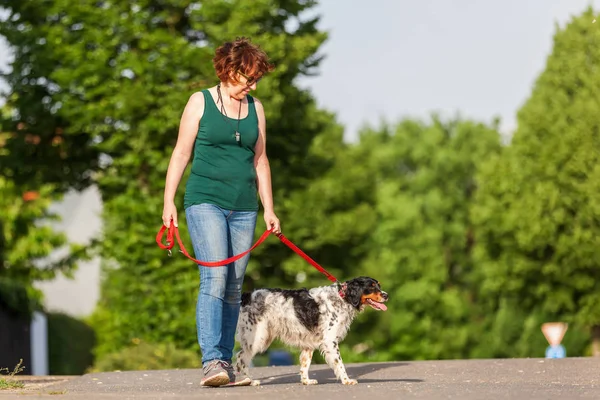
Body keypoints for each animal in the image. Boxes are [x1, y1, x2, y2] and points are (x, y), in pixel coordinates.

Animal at [234, 276, 390, 386]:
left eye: (379, 285)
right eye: (371, 287)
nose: (386, 295)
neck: (342, 298)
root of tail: (246, 296)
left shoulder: (309, 343)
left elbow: (305, 364)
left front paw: (306, 381)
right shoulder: (330, 341)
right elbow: (339, 363)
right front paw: (346, 380)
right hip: (257, 338)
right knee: (241, 358)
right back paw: (250, 380)